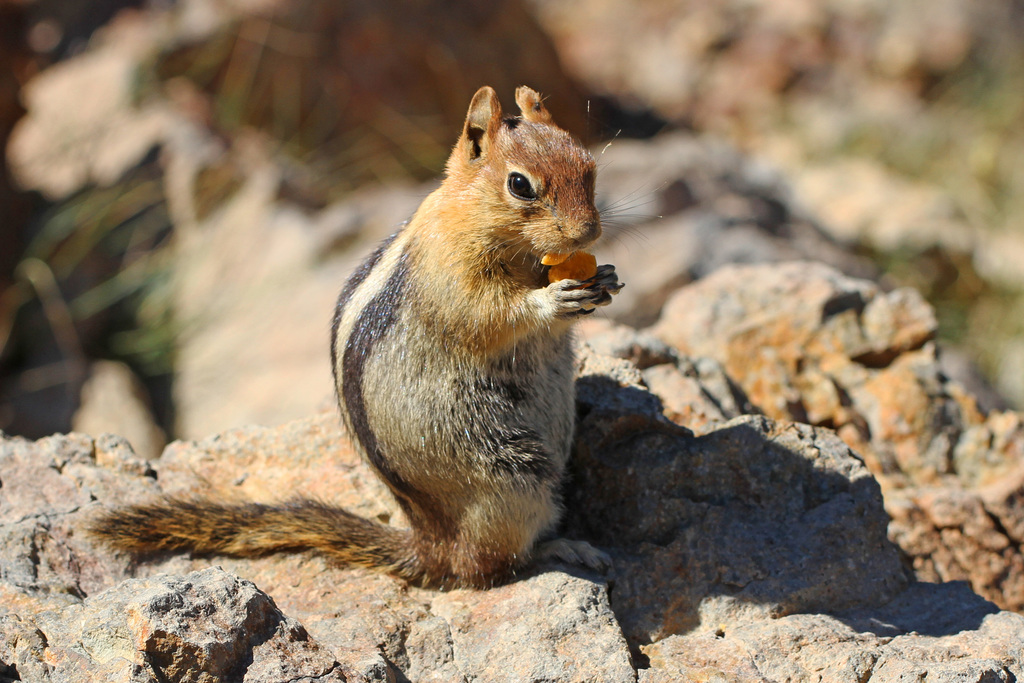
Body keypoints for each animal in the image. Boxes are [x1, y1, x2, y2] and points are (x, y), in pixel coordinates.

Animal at [89, 86, 623, 589]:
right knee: (491, 566)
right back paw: (559, 548)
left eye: (588, 166)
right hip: (514, 476)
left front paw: (607, 279)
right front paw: (552, 300)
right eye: (519, 185)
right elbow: (486, 314)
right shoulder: (449, 272)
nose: (587, 232)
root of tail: (432, 544)